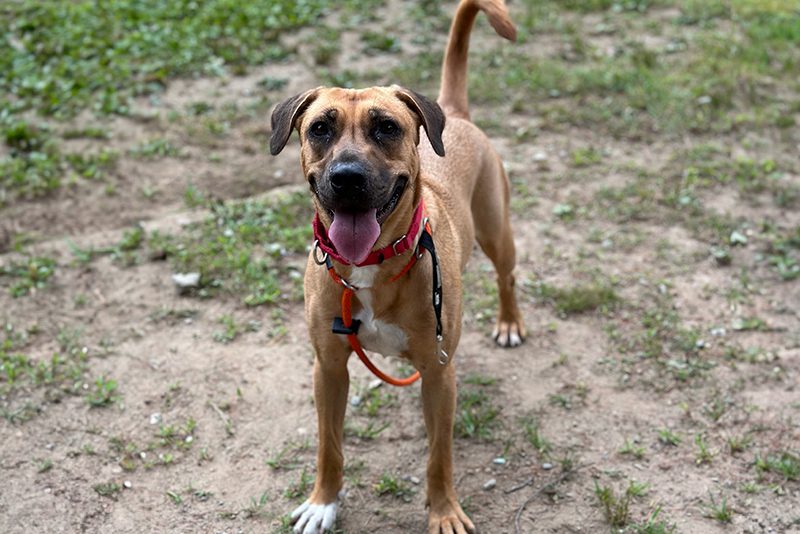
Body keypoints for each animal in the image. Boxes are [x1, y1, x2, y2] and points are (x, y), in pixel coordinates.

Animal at [270, 2, 524, 532]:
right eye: (319, 128)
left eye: (386, 126)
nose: (347, 178)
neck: (372, 264)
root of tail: (456, 115)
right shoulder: (328, 369)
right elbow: (329, 447)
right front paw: (323, 502)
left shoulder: (439, 374)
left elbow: (438, 456)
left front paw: (444, 511)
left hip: (497, 232)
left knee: (508, 274)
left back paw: (510, 322)